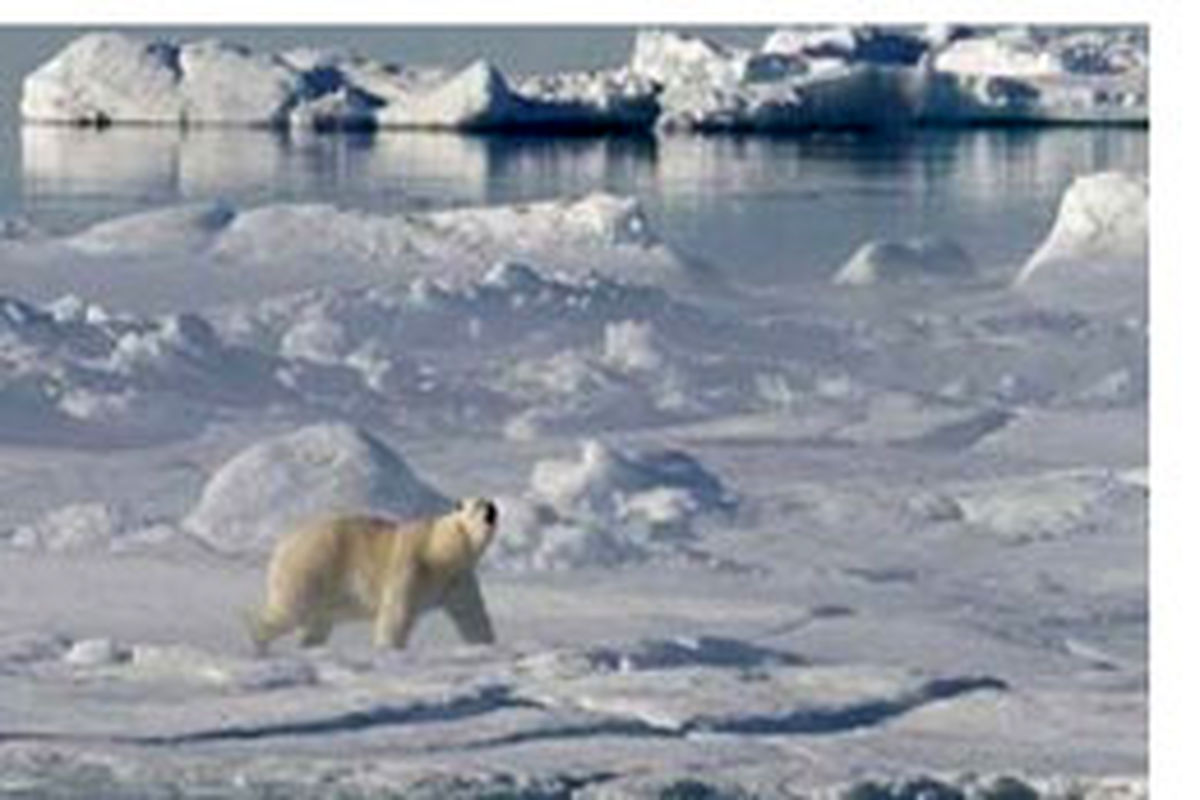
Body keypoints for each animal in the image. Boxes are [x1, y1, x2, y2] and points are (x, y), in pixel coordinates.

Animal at [248, 496, 496, 652]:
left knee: (318, 625)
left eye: (490, 502)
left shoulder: (459, 578)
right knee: (289, 610)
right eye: (477, 505)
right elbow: (396, 614)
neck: (442, 550)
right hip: (311, 568)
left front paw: (487, 645)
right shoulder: (412, 566)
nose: (492, 510)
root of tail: (281, 546)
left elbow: (472, 615)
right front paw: (388, 650)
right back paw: (259, 644)